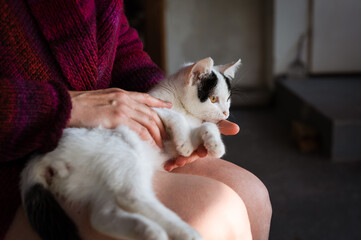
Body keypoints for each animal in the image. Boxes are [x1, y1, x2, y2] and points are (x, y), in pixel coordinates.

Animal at [19, 57, 239, 240]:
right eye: (213, 99)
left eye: (228, 99)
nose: (226, 113)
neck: (182, 106)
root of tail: (42, 156)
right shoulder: (148, 109)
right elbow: (174, 118)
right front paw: (185, 144)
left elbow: (206, 127)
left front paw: (214, 145)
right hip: (124, 154)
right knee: (132, 198)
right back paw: (183, 232)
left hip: (95, 180)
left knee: (102, 216)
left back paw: (148, 231)